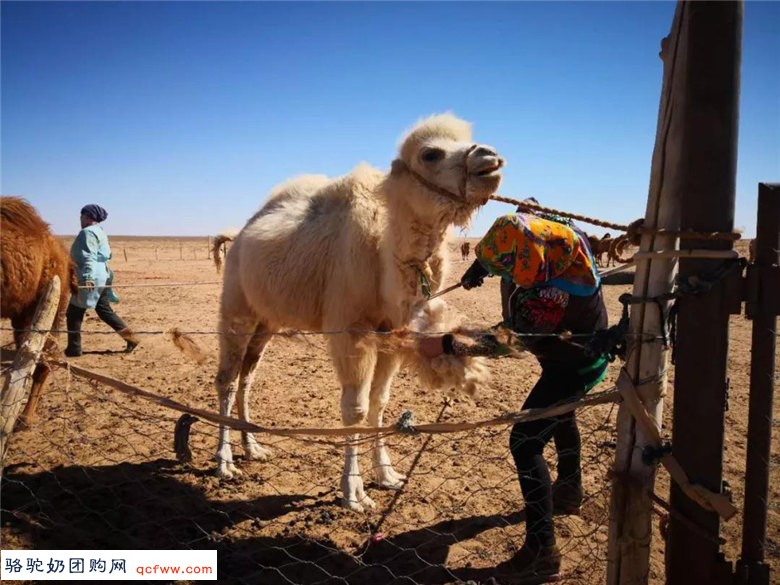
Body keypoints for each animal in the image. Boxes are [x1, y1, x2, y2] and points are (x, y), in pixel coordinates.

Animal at [215, 112, 506, 508]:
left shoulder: (391, 333)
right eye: (430, 154)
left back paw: (253, 448)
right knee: (227, 380)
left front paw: (387, 476)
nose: (490, 159)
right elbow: (354, 409)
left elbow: (379, 403)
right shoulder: (351, 330)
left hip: (268, 320)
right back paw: (224, 463)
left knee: (248, 376)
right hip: (237, 307)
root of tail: (238, 236)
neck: (384, 260)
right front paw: (353, 492)